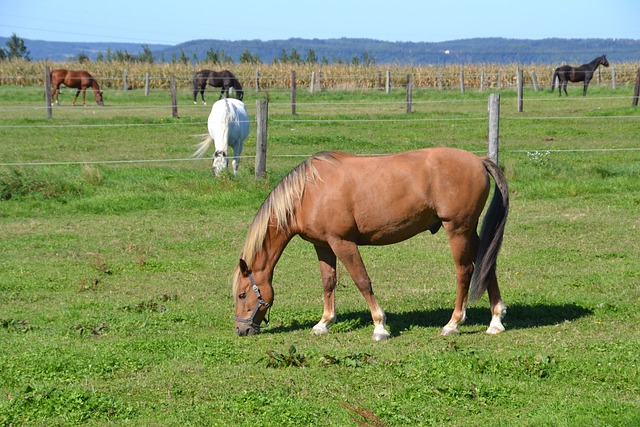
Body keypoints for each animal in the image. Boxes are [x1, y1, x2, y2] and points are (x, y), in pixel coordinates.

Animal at [232, 147, 508, 342]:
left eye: (242, 294)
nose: (240, 329)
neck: (308, 192)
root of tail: (478, 160)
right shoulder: (323, 246)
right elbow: (328, 282)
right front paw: (324, 323)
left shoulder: (343, 243)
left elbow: (362, 281)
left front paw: (380, 326)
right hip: (469, 231)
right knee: (487, 264)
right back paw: (495, 320)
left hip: (458, 229)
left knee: (465, 271)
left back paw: (453, 323)